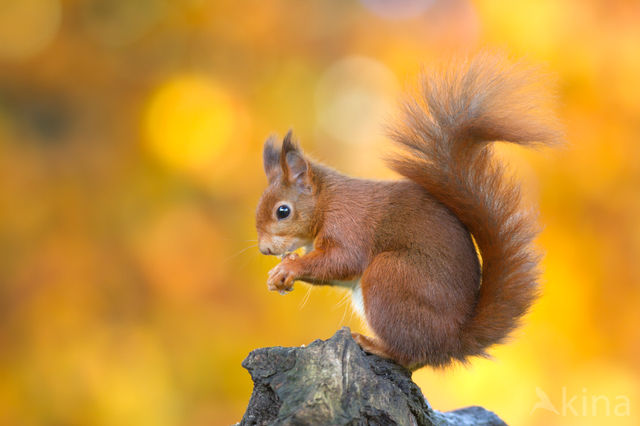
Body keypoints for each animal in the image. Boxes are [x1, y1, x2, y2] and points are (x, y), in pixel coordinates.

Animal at [255, 55, 560, 370]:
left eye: (283, 211)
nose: (265, 249)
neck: (327, 201)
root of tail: (452, 341)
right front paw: (279, 272)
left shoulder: (348, 224)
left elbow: (343, 260)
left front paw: (289, 268)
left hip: (390, 277)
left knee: (410, 353)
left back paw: (376, 345)